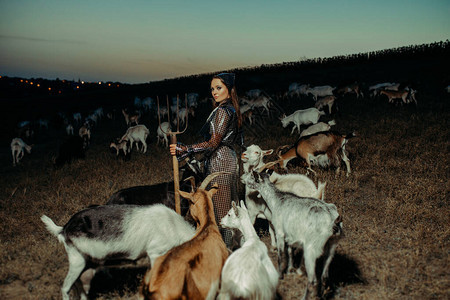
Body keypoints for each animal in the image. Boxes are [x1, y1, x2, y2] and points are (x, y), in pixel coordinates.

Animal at [41, 204, 195, 300]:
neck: (172, 225)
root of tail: (64, 229)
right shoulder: (155, 253)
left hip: (84, 263)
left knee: (78, 284)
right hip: (76, 261)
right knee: (65, 287)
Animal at [244, 171, 342, 300]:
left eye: (252, 175)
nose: (243, 179)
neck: (276, 200)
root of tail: (333, 220)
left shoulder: (280, 232)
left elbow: (281, 255)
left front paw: (280, 275)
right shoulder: (291, 236)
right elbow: (290, 252)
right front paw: (290, 269)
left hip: (311, 249)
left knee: (312, 281)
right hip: (331, 247)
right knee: (324, 277)